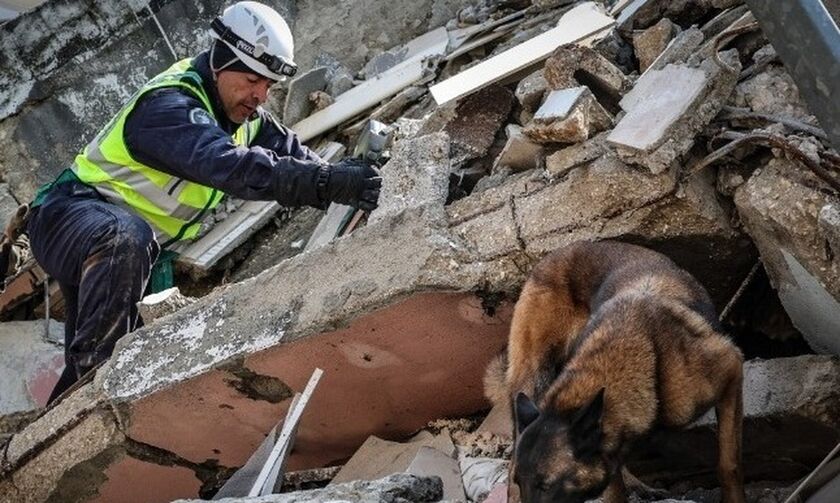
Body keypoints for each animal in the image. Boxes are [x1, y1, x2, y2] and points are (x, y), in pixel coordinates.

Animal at [482, 240, 744, 503]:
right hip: (533, 379)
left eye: (546, 485)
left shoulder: (732, 371)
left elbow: (728, 464)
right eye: (524, 482)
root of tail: (553, 254)